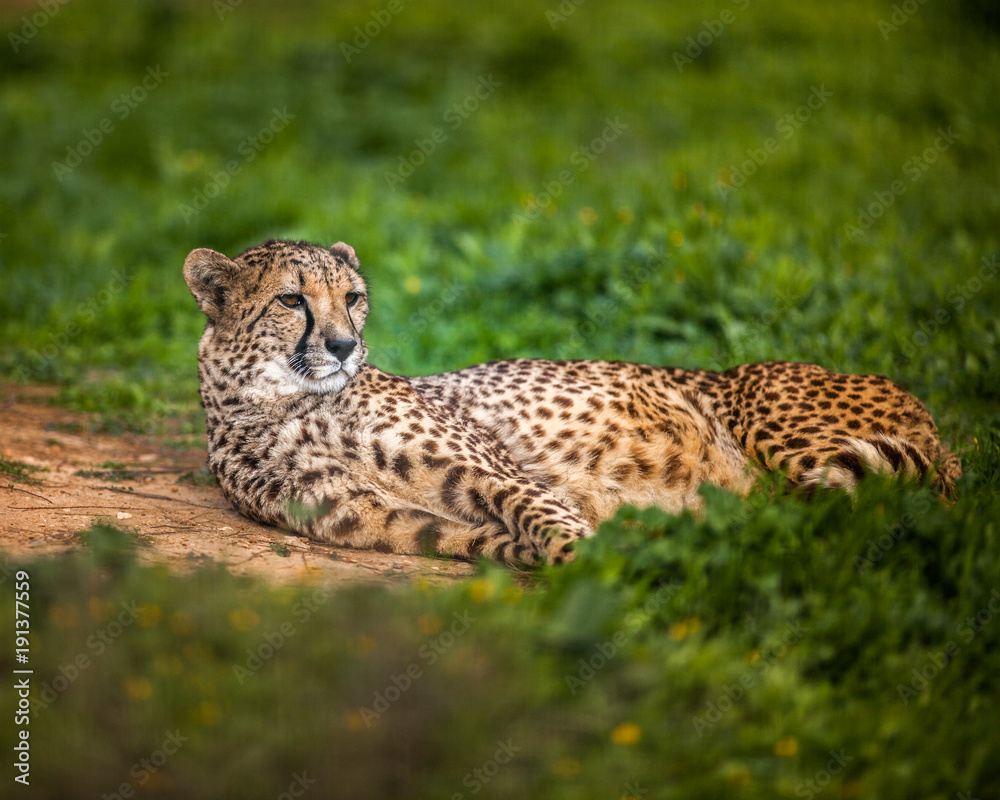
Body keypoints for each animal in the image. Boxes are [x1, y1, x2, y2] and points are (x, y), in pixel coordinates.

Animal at [183, 239, 960, 565]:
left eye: (353, 297)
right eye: (292, 300)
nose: (346, 346)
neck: (282, 403)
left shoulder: (495, 472)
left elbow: (542, 517)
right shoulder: (384, 521)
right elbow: (492, 542)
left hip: (791, 434)